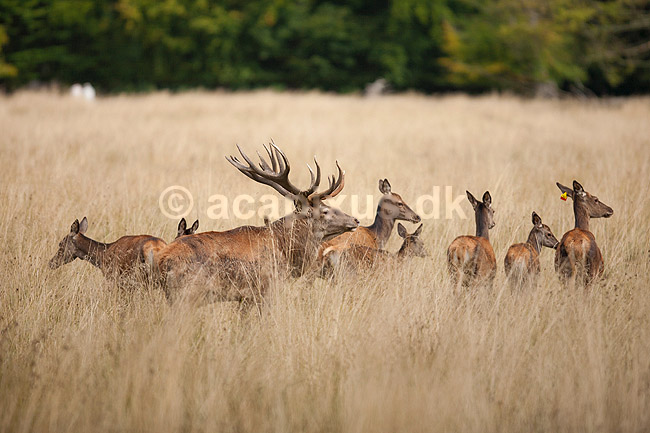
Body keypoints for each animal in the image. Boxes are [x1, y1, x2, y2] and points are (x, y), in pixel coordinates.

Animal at [155, 143, 359, 303]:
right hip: (187, 294)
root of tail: (162, 260)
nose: (355, 219)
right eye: (324, 211)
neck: (284, 249)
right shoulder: (265, 288)